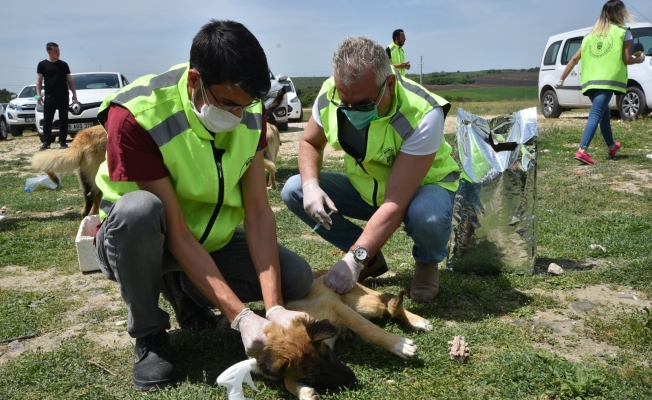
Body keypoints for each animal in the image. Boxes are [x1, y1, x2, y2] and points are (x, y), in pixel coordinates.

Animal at [255, 270, 432, 398]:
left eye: (327, 354)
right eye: (311, 378)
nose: (353, 381)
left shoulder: (337, 308)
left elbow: (368, 330)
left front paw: (400, 345)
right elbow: (286, 379)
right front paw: (304, 392)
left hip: (361, 304)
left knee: (387, 302)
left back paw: (418, 321)